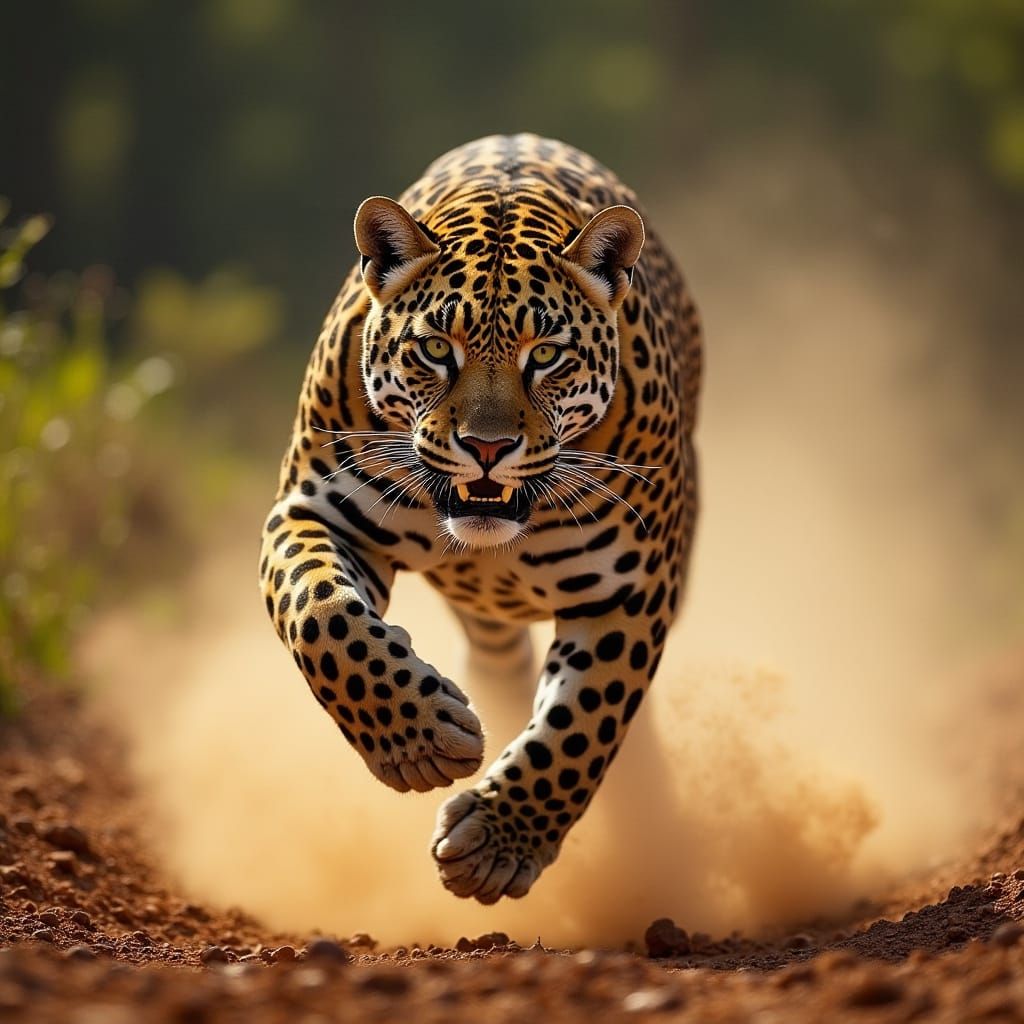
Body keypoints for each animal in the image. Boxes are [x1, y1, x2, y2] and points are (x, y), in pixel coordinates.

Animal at [259, 133, 702, 904]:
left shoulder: (632, 585)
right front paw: (419, 741)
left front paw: (498, 843)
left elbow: (585, 718)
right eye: (438, 349)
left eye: (546, 355)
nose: (488, 447)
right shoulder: (310, 509)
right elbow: (323, 617)